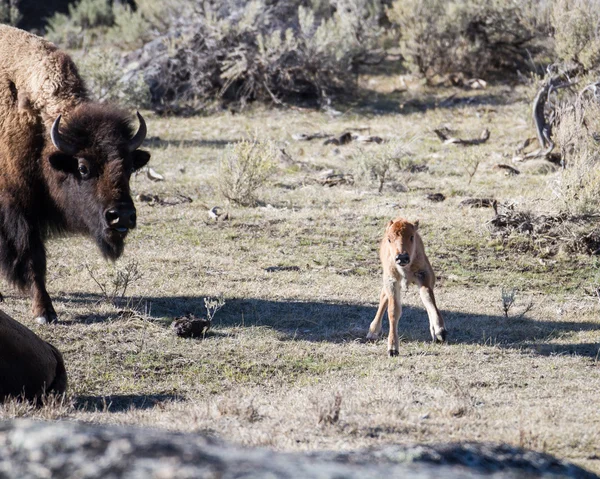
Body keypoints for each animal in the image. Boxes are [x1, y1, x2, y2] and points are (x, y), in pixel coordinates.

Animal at [0, 27, 149, 326]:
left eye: (129, 167)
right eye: (82, 168)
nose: (122, 216)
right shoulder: (17, 208)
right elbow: (33, 258)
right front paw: (44, 313)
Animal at [366, 218, 446, 356]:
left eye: (412, 237)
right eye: (389, 239)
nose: (402, 257)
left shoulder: (425, 277)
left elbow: (428, 298)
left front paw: (440, 332)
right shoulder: (392, 281)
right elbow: (393, 310)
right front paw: (392, 349)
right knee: (383, 297)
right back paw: (373, 331)